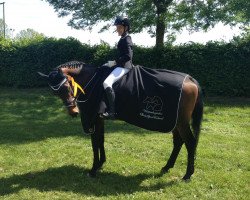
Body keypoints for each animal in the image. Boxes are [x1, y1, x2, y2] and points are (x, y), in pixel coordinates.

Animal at [38, 60, 203, 180]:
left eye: (67, 85)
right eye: (55, 92)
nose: (73, 112)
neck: (93, 82)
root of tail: (190, 79)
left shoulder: (93, 118)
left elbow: (95, 143)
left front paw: (93, 169)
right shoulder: (99, 119)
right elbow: (101, 140)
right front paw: (101, 163)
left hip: (181, 123)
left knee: (190, 143)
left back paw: (188, 175)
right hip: (176, 123)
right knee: (178, 142)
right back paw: (167, 166)